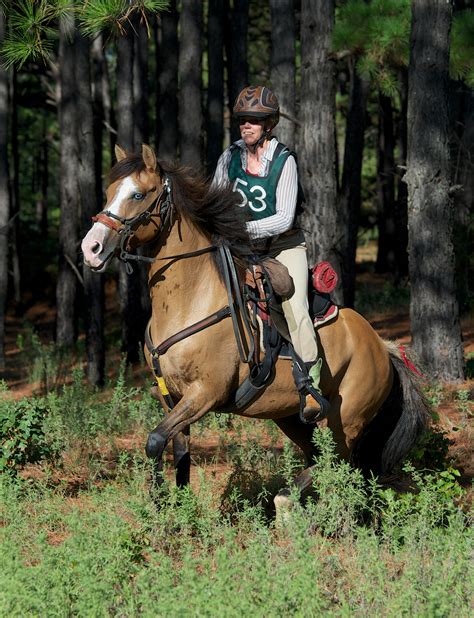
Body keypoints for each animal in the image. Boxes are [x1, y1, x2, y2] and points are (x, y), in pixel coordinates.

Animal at [80, 146, 430, 510]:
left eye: (137, 194)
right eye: (109, 191)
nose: (90, 248)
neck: (191, 299)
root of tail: (382, 346)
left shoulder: (206, 392)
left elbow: (154, 439)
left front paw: (161, 502)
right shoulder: (171, 396)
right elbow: (177, 452)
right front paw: (177, 510)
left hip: (346, 419)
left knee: (336, 461)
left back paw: (289, 501)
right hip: (292, 417)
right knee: (323, 460)